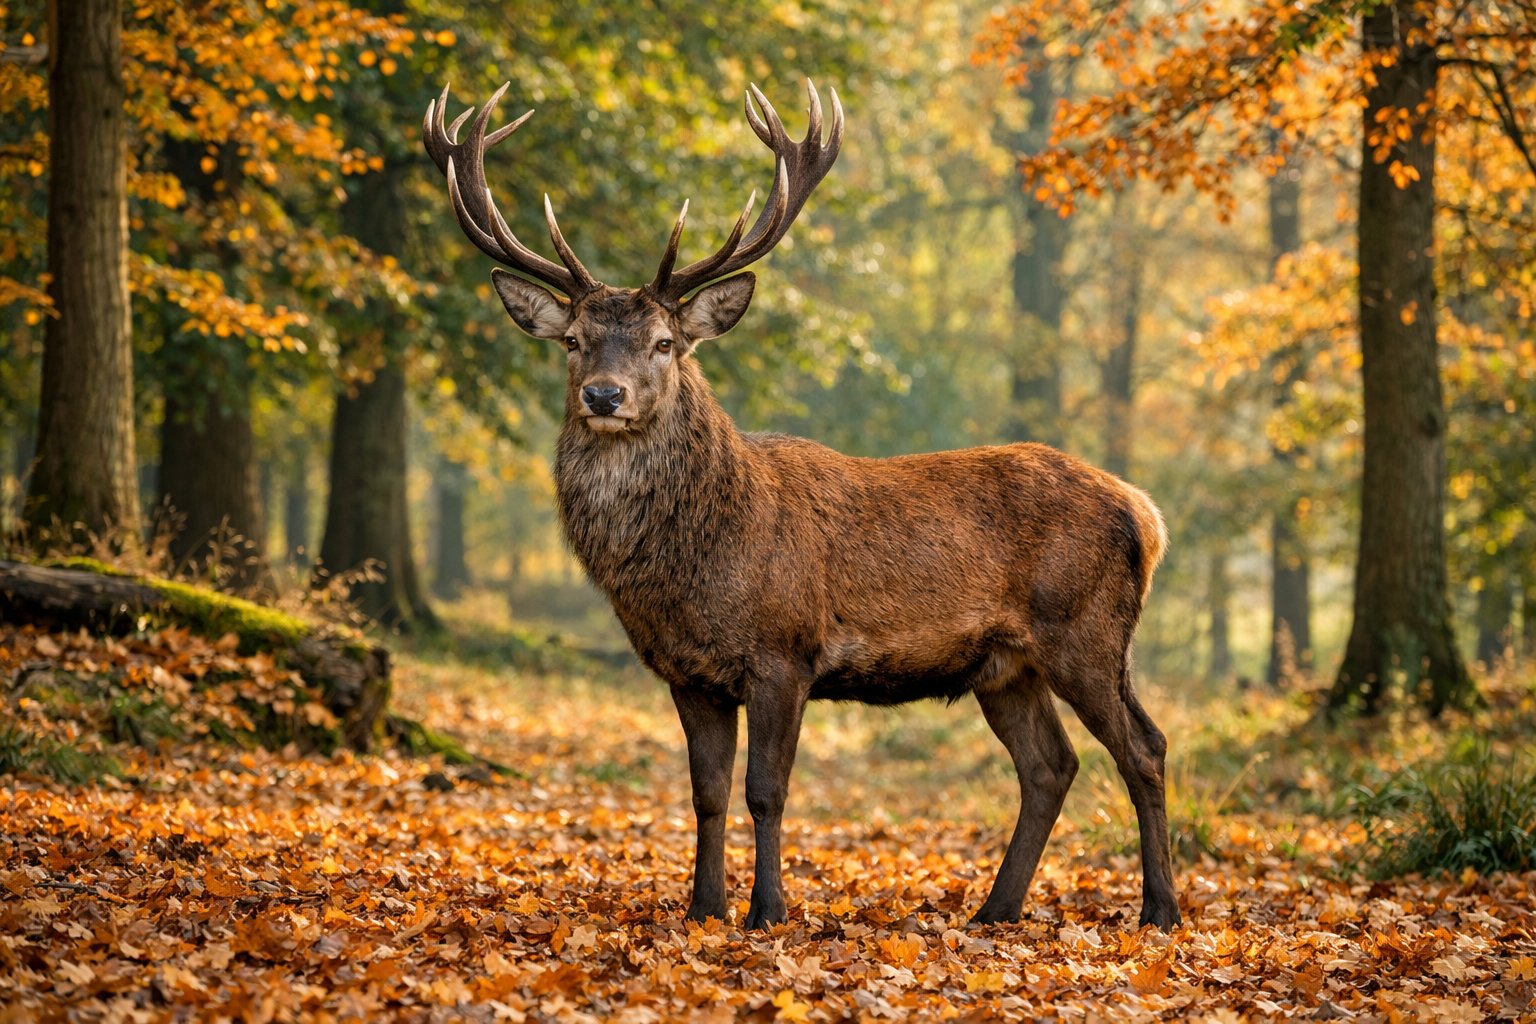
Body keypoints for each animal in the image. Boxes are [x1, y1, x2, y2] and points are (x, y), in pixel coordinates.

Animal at [423, 80, 1181, 931]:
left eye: (663, 343)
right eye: (575, 339)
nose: (605, 396)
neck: (692, 571)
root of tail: (1145, 514)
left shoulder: (784, 651)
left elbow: (766, 790)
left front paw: (767, 911)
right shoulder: (686, 672)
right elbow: (706, 794)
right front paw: (704, 909)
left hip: (1087, 630)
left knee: (1143, 747)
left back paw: (1159, 909)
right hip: (1004, 666)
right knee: (1051, 764)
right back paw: (996, 910)